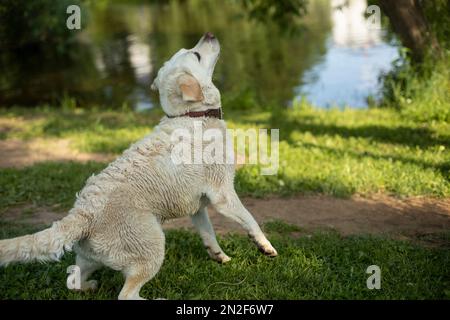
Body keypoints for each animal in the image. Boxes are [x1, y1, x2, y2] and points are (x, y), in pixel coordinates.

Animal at [0, 32, 276, 300]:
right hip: (151, 245)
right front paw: (265, 246)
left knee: (73, 281)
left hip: (91, 257)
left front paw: (219, 256)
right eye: (196, 54)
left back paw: (89, 286)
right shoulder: (223, 194)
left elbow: (208, 233)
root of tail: (82, 212)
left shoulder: (197, 206)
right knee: (126, 295)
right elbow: (250, 220)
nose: (209, 34)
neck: (192, 116)